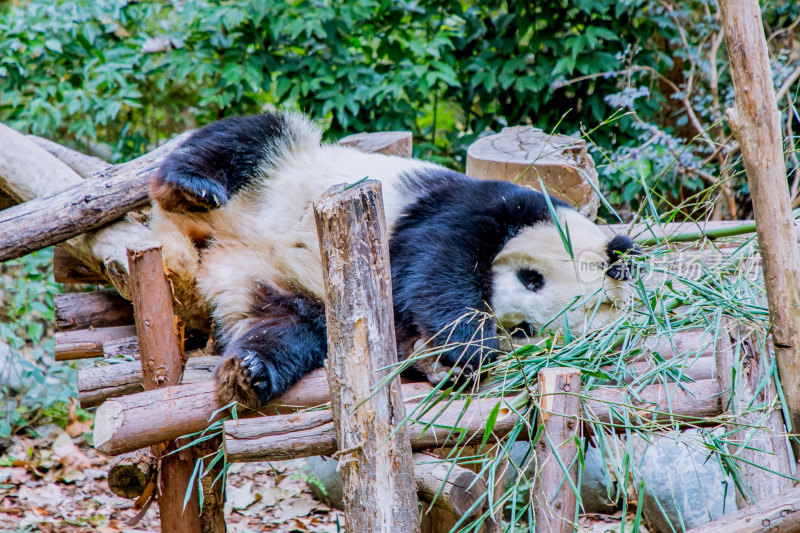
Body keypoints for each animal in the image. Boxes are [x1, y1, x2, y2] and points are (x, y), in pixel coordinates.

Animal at [148, 112, 636, 408]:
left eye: (526, 330)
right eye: (532, 278)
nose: (498, 308)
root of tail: (208, 242)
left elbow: (408, 341)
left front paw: (445, 365)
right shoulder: (479, 205)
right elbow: (439, 261)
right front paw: (468, 344)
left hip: (286, 289)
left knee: (284, 327)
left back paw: (248, 373)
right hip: (283, 169)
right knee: (251, 137)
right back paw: (190, 186)